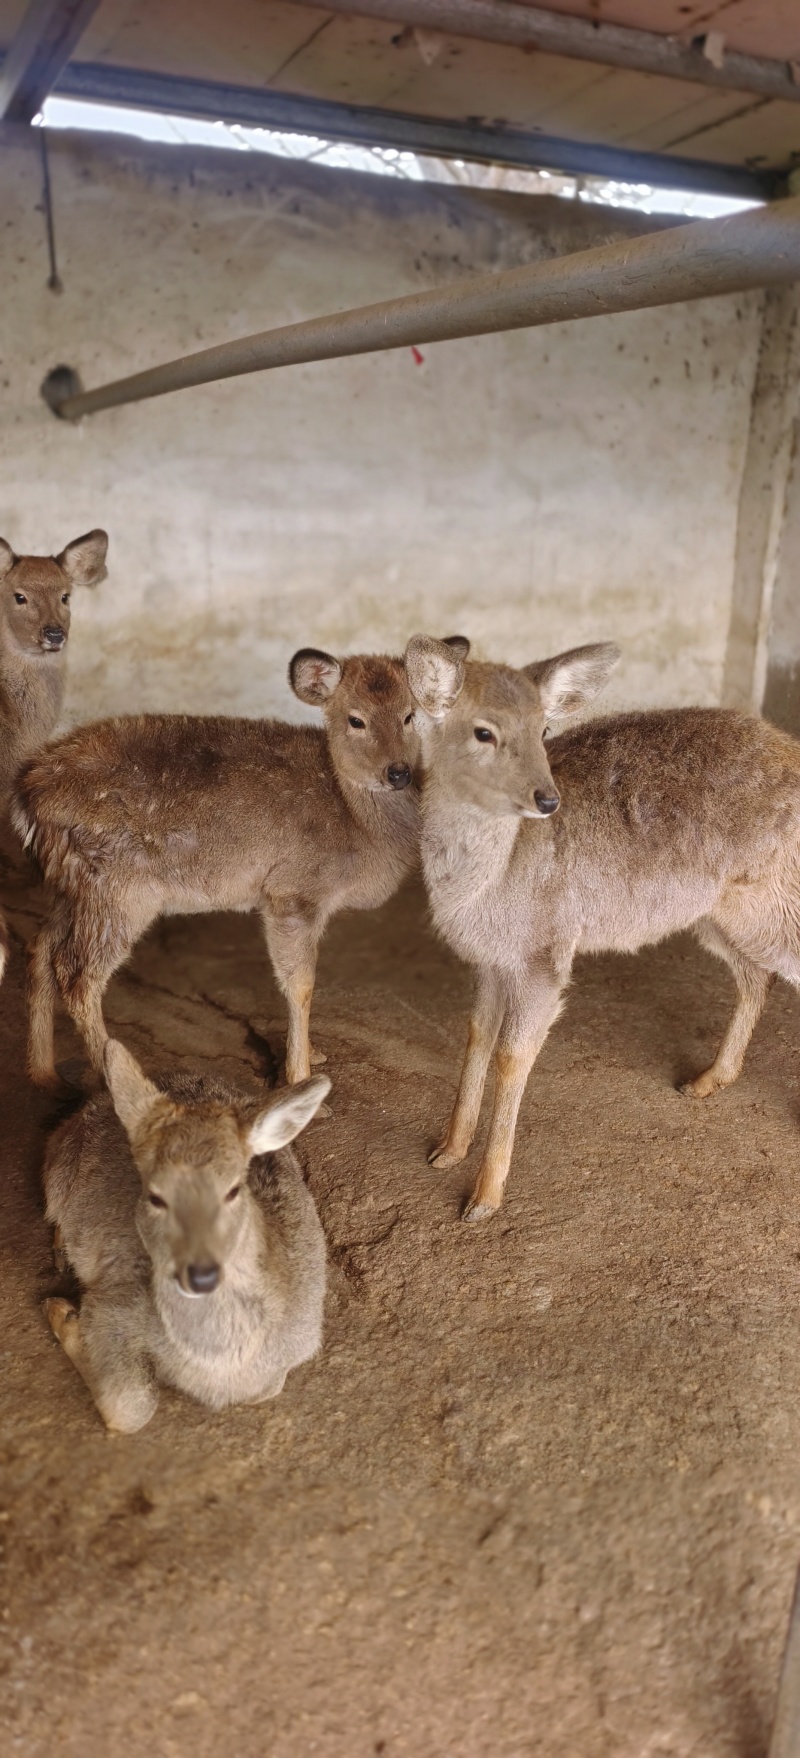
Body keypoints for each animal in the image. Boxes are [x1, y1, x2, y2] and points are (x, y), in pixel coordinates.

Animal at [14, 645, 431, 1089]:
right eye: (356, 719)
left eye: (410, 715)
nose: (399, 772)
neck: (357, 827)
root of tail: (27, 795)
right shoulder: (293, 890)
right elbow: (300, 984)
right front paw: (301, 1078)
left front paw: (313, 1054)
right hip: (118, 888)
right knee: (76, 975)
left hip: (72, 884)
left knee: (40, 945)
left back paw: (42, 1072)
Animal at [43, 1039, 330, 1432]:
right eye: (155, 1196)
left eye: (233, 1190)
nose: (201, 1273)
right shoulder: (113, 1309)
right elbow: (130, 1408)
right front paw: (62, 1313)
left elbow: (267, 1390)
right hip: (58, 1166)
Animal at [404, 633, 800, 1222]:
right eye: (483, 731)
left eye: (545, 729)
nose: (547, 799)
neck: (482, 889)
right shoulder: (492, 959)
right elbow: (476, 1034)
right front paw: (445, 1150)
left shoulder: (544, 956)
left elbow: (511, 1056)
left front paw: (483, 1200)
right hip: (720, 918)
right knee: (757, 977)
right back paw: (705, 1080)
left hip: (776, 907)